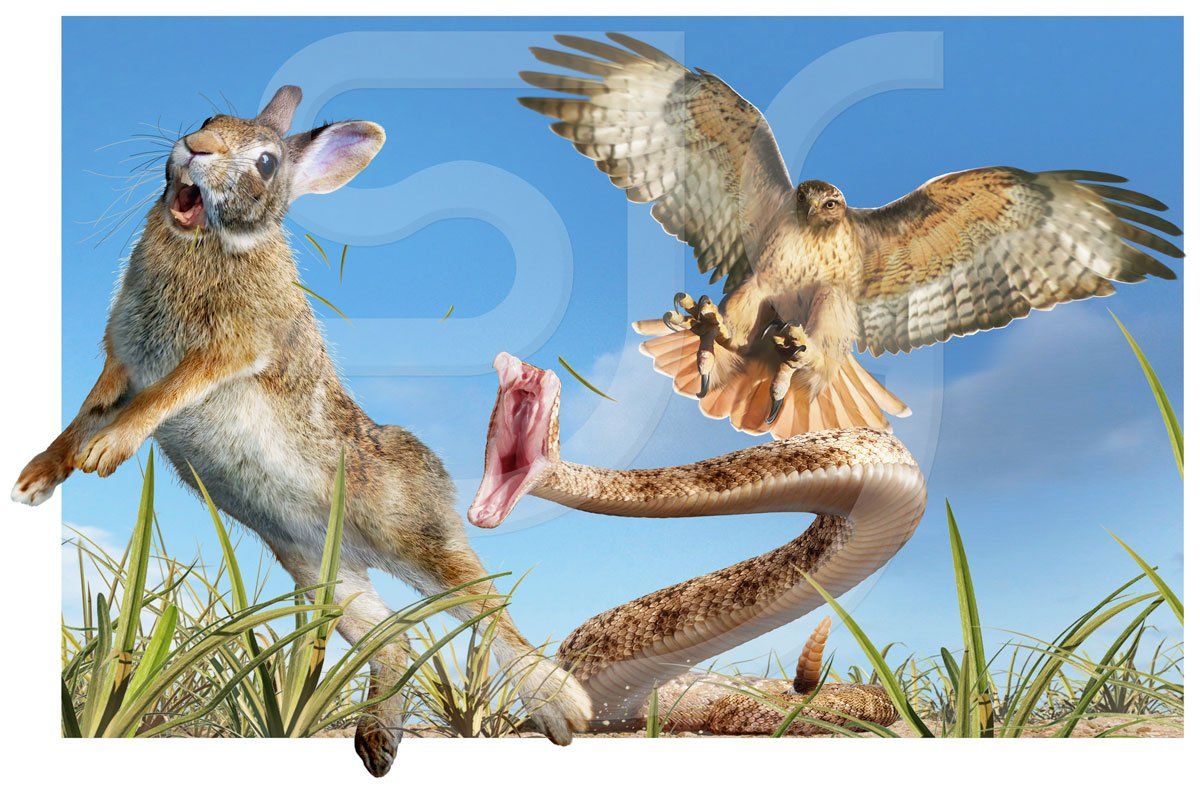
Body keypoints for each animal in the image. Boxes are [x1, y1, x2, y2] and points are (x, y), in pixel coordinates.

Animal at [12, 86, 591, 775]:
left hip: (413, 540)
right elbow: (83, 413)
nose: (196, 148)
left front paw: (107, 450)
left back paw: (563, 712)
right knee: (392, 637)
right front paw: (35, 480)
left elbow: (163, 396)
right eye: (208, 120)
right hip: (322, 573)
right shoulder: (120, 362)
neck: (211, 244)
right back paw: (377, 741)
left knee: (484, 608)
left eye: (265, 162)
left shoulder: (229, 349)